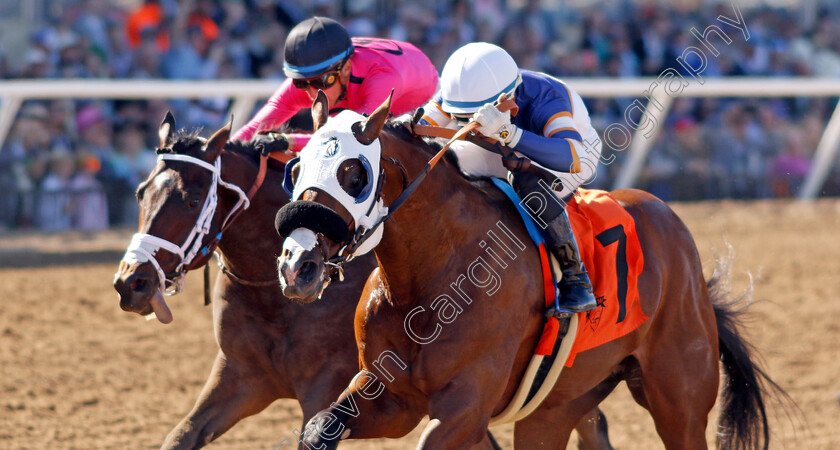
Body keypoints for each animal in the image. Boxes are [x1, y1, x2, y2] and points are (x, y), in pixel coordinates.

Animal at [113, 114, 612, 448]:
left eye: (192, 196)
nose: (131, 282)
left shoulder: (327, 385)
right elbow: (182, 436)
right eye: (140, 193)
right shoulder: (240, 377)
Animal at [276, 93, 780, 448]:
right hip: (557, 405)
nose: (298, 266)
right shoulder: (391, 393)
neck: (430, 280)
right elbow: (318, 429)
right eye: (295, 169)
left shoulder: (468, 404)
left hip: (679, 396)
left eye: (353, 174)